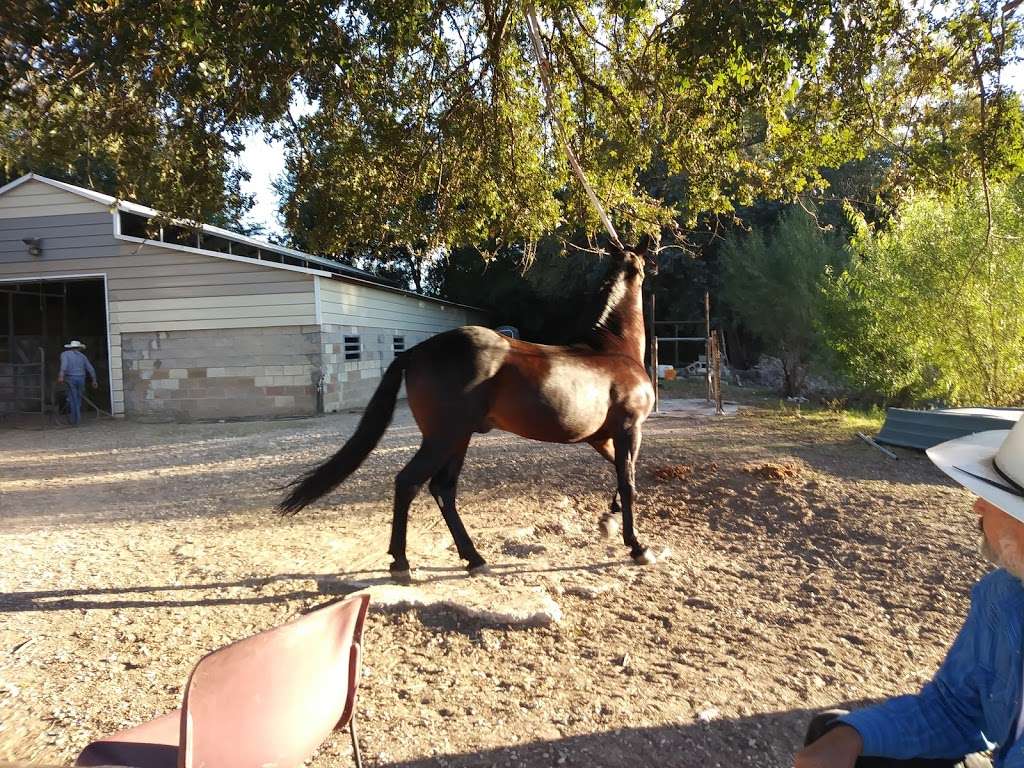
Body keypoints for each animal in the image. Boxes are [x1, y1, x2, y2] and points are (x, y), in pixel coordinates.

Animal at [282, 237, 655, 581]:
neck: (613, 350)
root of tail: (415, 352)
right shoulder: (629, 428)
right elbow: (628, 482)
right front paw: (637, 546)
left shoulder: (600, 437)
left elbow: (622, 474)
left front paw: (610, 517)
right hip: (444, 438)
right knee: (409, 482)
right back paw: (402, 563)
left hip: (458, 438)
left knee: (443, 489)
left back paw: (473, 558)